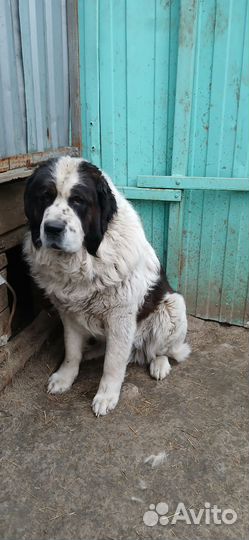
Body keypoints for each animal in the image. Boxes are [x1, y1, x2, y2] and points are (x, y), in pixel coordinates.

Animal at [23, 154, 191, 416]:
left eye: (78, 200)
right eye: (45, 197)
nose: (52, 228)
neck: (85, 259)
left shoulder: (120, 318)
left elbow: (113, 363)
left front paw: (106, 396)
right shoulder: (68, 312)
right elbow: (71, 350)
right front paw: (64, 377)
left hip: (173, 305)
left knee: (162, 350)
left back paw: (159, 364)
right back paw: (90, 352)